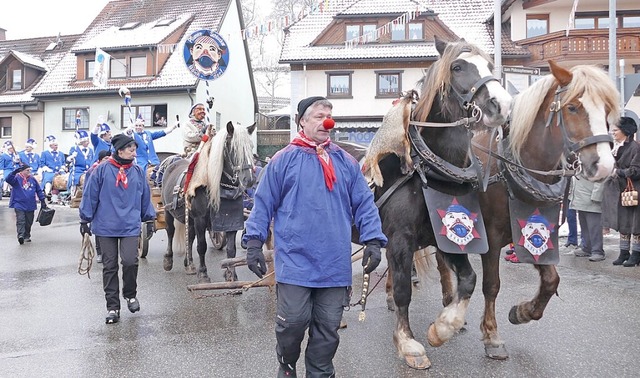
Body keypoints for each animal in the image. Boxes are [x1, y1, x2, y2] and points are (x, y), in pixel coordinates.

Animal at [161, 122, 256, 282]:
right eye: (233, 148)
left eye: (251, 147)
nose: (249, 179)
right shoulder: (200, 219)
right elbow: (201, 246)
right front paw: (203, 273)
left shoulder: (232, 221)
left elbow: (231, 249)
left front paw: (231, 275)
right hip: (168, 210)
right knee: (170, 231)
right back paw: (168, 259)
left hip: (189, 218)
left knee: (189, 235)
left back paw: (189, 263)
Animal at [372, 38, 512, 370]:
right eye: (457, 67)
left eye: (491, 66)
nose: (501, 105)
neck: (427, 170)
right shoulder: (400, 238)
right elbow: (403, 291)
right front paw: (408, 342)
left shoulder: (447, 236)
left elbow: (470, 279)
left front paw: (444, 326)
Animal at [436, 60, 620, 358]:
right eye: (572, 107)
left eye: (605, 109)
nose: (603, 165)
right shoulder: (491, 236)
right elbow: (492, 284)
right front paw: (492, 336)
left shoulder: (536, 229)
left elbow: (551, 280)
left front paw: (522, 312)